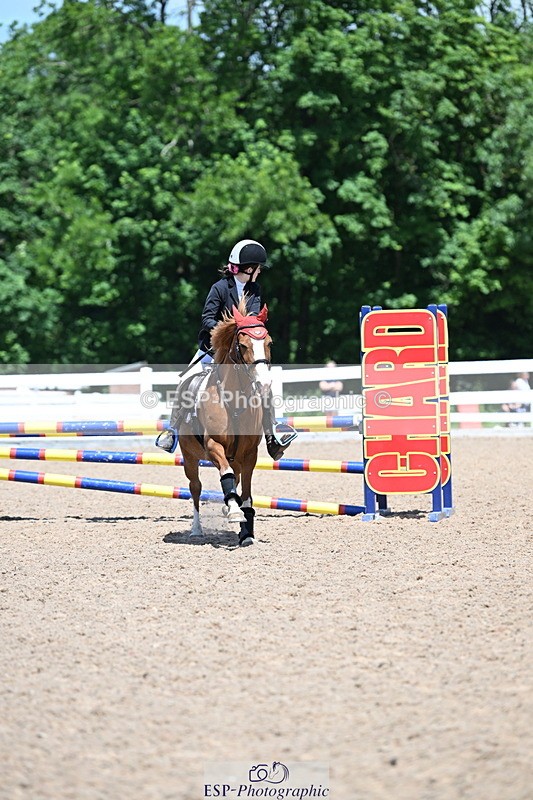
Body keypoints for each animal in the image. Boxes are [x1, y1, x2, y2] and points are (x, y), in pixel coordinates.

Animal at [178, 300, 272, 546]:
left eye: (269, 343)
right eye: (243, 345)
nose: (264, 384)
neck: (233, 401)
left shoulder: (249, 454)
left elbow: (246, 492)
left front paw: (247, 531)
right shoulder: (214, 446)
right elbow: (226, 476)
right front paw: (235, 512)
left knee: (234, 479)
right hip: (190, 458)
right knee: (196, 488)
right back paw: (197, 529)